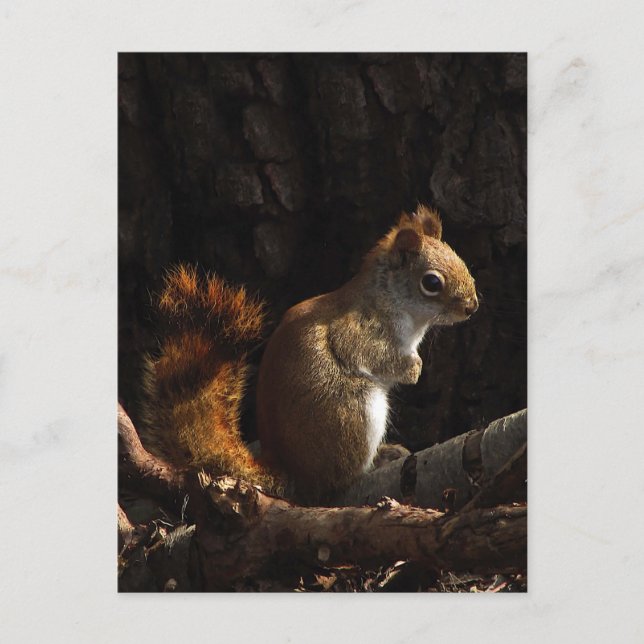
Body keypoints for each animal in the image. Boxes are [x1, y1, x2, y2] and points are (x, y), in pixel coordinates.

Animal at [139, 205, 478, 504]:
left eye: (461, 259)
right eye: (431, 283)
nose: (472, 306)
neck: (393, 300)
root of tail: (295, 475)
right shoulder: (358, 330)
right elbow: (370, 355)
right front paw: (413, 369)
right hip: (354, 413)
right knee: (338, 480)